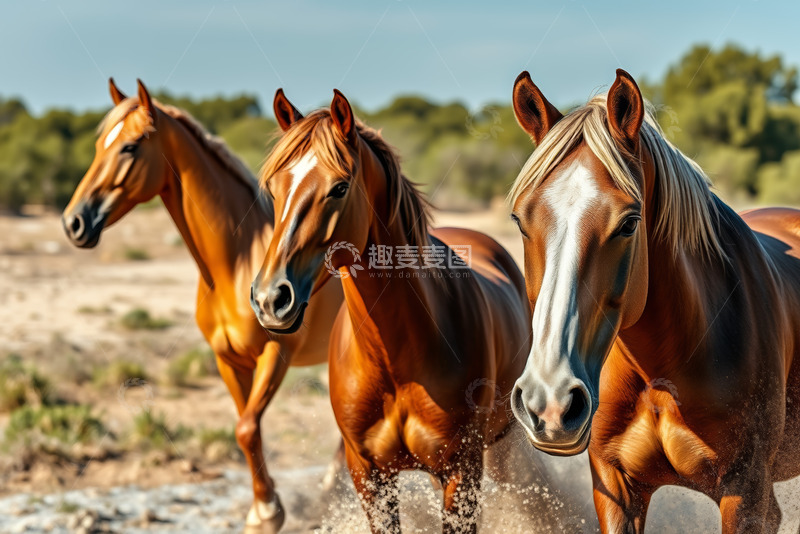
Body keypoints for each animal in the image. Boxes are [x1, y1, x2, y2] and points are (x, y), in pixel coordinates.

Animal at [61, 79, 344, 534]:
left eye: (129, 147)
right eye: (99, 145)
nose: (74, 222)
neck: (236, 262)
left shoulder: (275, 354)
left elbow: (246, 428)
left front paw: (268, 512)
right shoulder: (227, 360)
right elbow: (247, 430)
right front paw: (262, 509)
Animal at [249, 88, 531, 533]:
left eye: (339, 188)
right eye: (275, 190)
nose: (270, 299)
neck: (395, 362)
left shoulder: (461, 474)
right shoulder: (368, 476)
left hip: (501, 446)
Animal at [507, 68, 800, 533]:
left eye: (630, 223)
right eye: (520, 219)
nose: (548, 402)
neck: (659, 373)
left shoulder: (748, 496)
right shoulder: (615, 488)